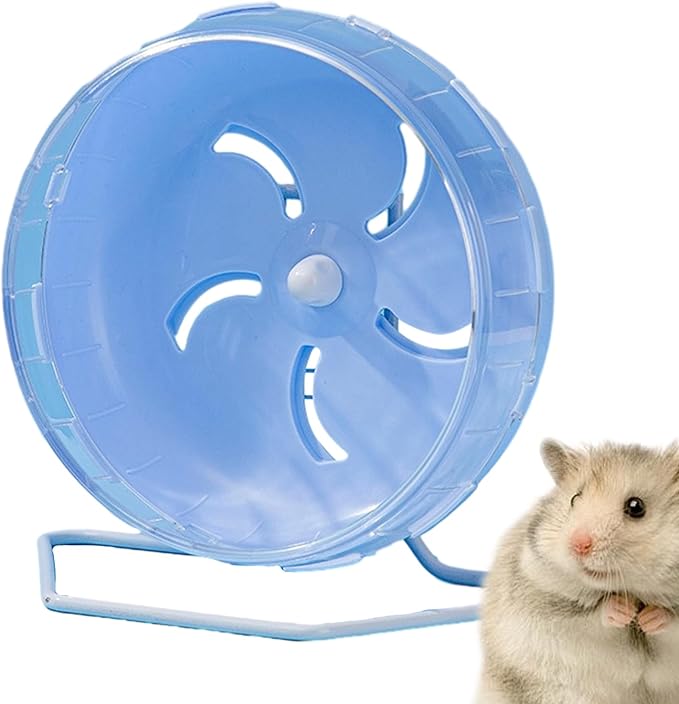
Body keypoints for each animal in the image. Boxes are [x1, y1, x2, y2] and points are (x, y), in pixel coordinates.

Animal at [476, 440, 679, 704]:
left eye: (636, 507)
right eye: (574, 498)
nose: (578, 545)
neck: (632, 590)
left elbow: (671, 619)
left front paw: (649, 617)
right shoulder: (544, 604)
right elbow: (591, 616)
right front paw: (623, 610)